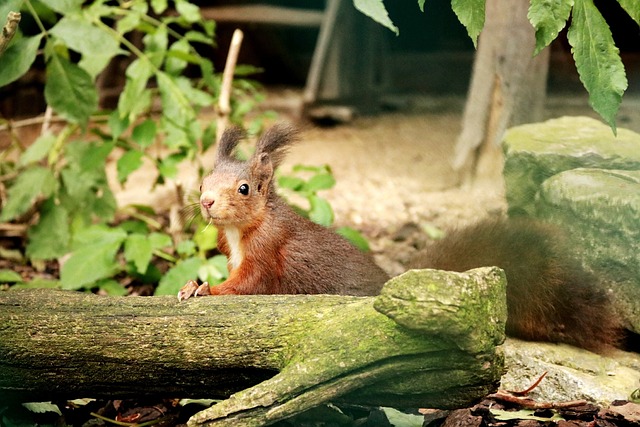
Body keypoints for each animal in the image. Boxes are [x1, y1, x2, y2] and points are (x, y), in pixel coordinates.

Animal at [179, 124, 390, 300]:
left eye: (244, 188)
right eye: (201, 185)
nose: (206, 201)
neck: (234, 229)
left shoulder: (267, 247)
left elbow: (249, 283)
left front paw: (205, 289)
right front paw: (191, 286)